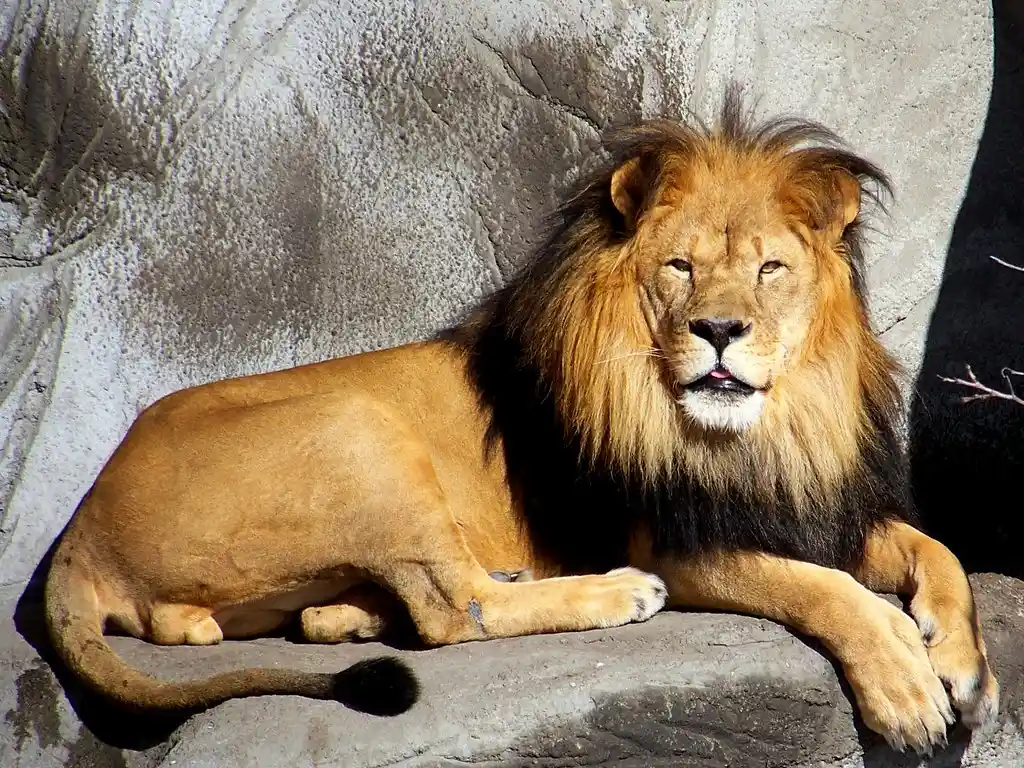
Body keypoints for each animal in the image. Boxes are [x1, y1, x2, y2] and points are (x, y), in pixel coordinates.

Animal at [44, 88, 997, 754]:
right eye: (680, 267)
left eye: (771, 269)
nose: (721, 330)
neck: (765, 432)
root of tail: (77, 535)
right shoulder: (673, 539)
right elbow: (820, 589)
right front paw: (906, 686)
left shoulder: (813, 507)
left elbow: (937, 551)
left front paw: (966, 667)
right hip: (359, 422)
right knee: (451, 609)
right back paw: (609, 594)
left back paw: (355, 613)